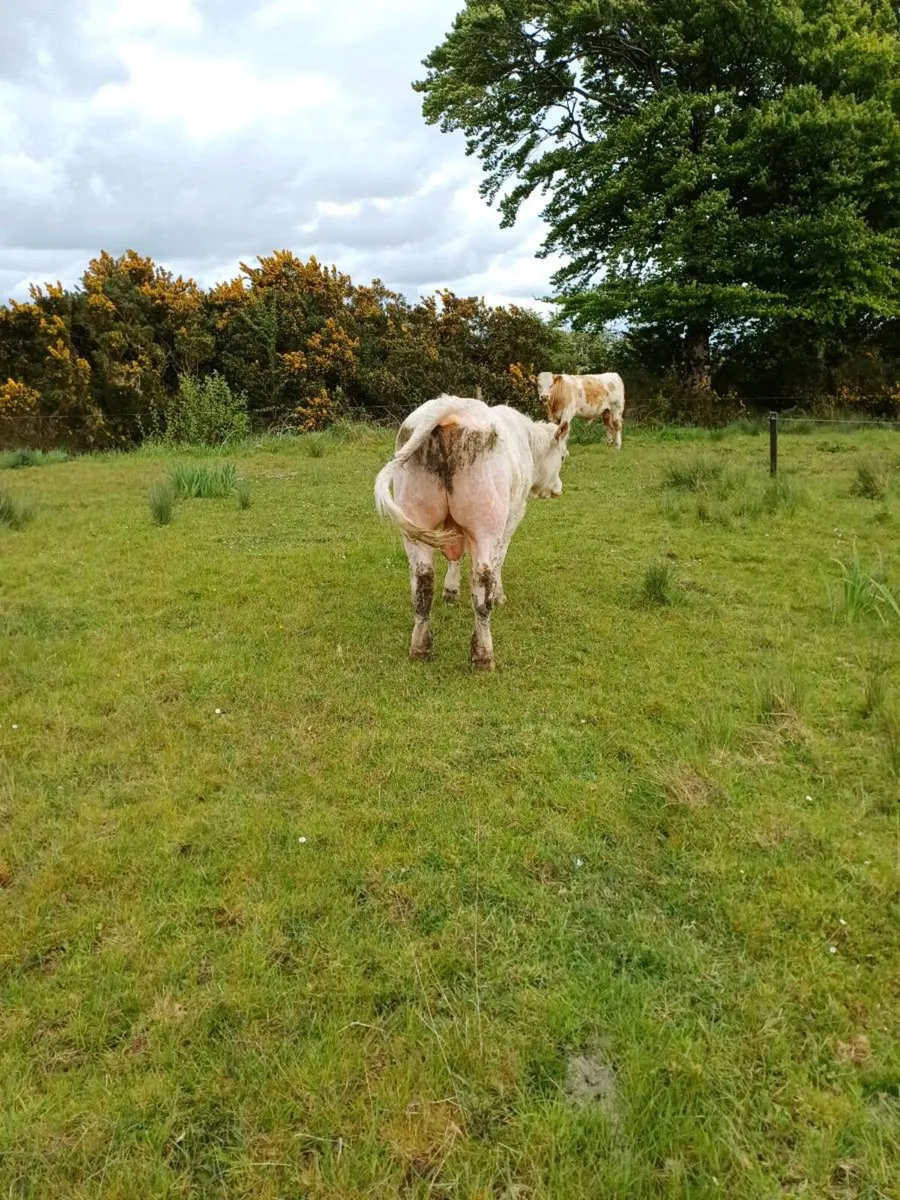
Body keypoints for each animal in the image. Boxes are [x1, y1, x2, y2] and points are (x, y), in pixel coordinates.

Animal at [374, 394, 570, 671]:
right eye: (563, 457)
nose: (558, 489)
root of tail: (449, 406)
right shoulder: (512, 517)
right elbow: (499, 560)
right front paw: (499, 596)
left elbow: (455, 557)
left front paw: (451, 591)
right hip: (487, 523)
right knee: (482, 579)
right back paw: (483, 655)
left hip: (414, 522)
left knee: (423, 580)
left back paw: (420, 648)